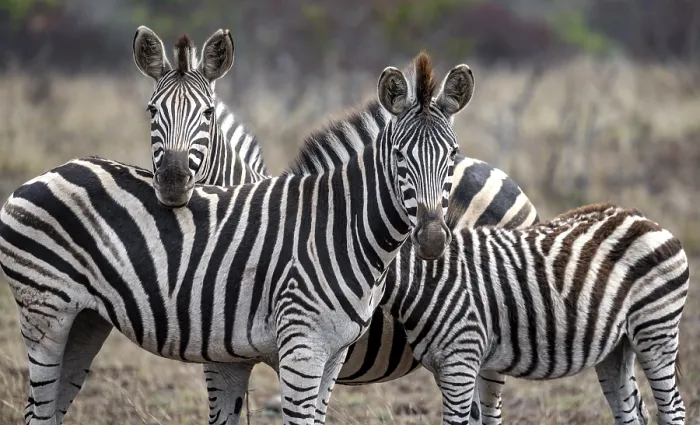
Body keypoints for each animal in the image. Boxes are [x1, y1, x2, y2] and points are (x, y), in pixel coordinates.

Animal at [0, 52, 474, 425]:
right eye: (399, 156)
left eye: (453, 155)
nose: (433, 240)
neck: (344, 229)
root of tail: (50, 171)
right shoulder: (300, 350)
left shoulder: (333, 354)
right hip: (45, 313)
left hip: (85, 319)